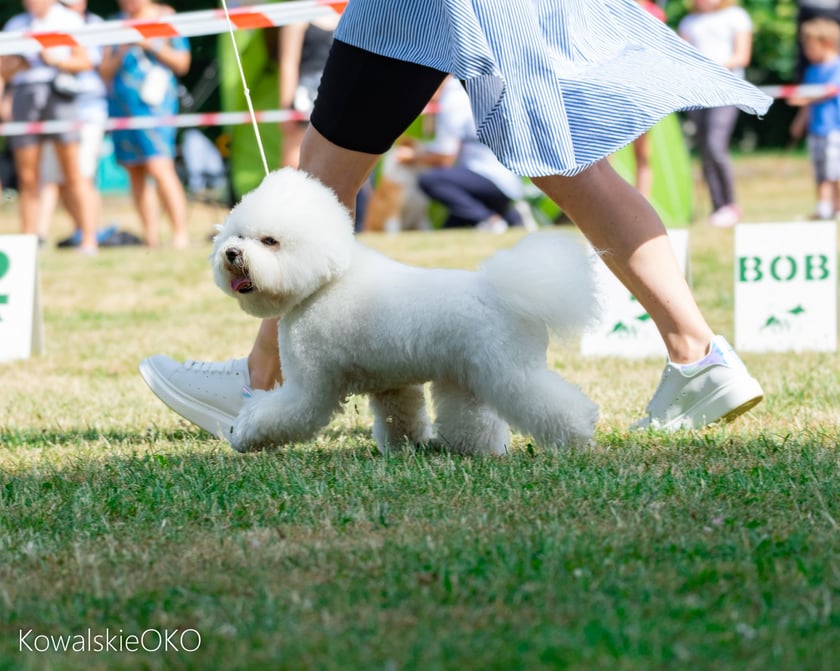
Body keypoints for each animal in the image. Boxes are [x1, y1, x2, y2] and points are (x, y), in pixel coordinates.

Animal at [213, 168, 600, 456]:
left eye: (269, 241)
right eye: (238, 235)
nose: (231, 253)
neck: (328, 281)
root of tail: (509, 291)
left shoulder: (311, 384)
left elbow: (279, 413)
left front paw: (244, 435)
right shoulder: (390, 382)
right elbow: (401, 416)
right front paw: (404, 449)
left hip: (510, 370)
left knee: (548, 402)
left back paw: (578, 435)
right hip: (467, 373)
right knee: (474, 419)